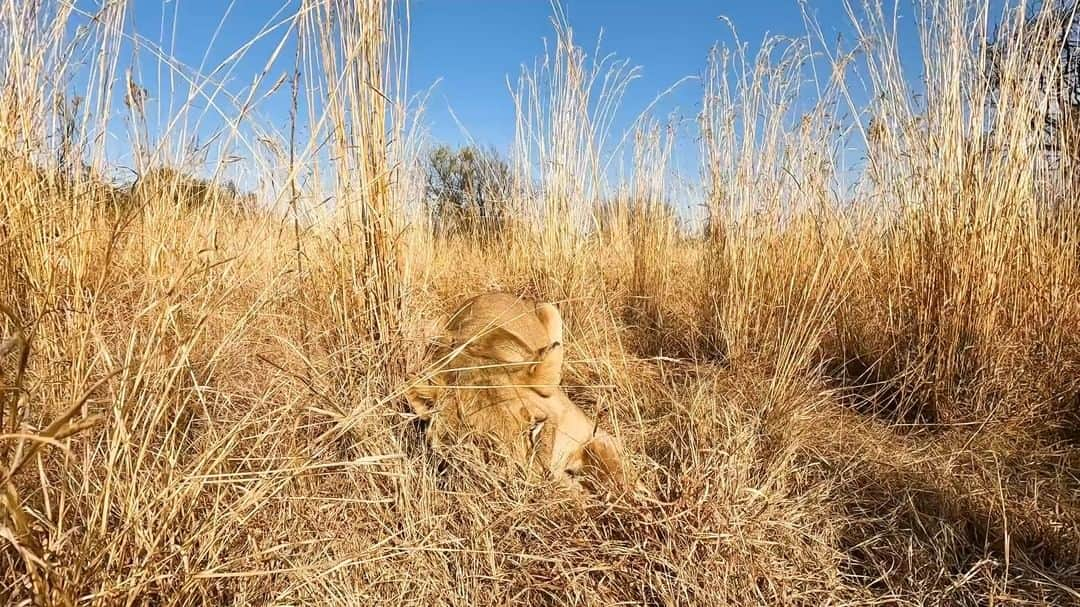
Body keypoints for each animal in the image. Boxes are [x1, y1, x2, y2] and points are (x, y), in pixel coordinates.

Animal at [406, 291, 639, 494]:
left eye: (535, 428)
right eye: (479, 445)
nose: (535, 491)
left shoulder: (593, 432)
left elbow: (615, 470)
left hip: (549, 309)